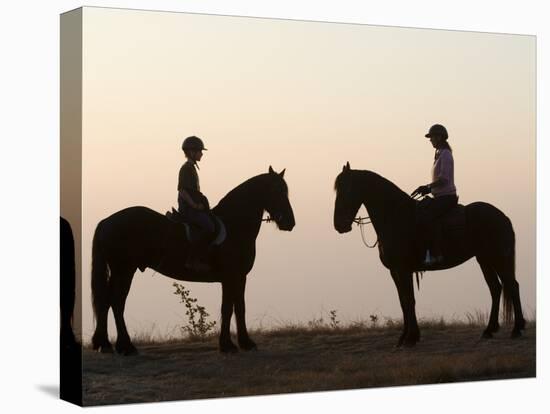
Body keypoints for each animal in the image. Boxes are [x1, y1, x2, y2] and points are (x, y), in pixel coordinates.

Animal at [92, 167, 296, 354]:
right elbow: (228, 308)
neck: (234, 225)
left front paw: (245, 343)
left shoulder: (239, 277)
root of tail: (106, 221)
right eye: (277, 191)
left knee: (107, 301)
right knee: (117, 302)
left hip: (121, 271)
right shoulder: (231, 277)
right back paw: (125, 346)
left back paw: (106, 345)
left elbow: (239, 307)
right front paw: (228, 345)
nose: (290, 222)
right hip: (124, 270)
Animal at [334, 163, 528, 348]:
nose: (339, 225)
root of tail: (502, 216)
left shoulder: (403, 270)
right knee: (495, 288)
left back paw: (517, 329)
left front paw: (410, 338)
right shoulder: (395, 271)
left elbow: (409, 300)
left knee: (512, 286)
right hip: (484, 259)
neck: (396, 218)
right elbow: (403, 301)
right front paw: (404, 338)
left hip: (498, 257)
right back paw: (489, 330)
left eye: (347, 189)